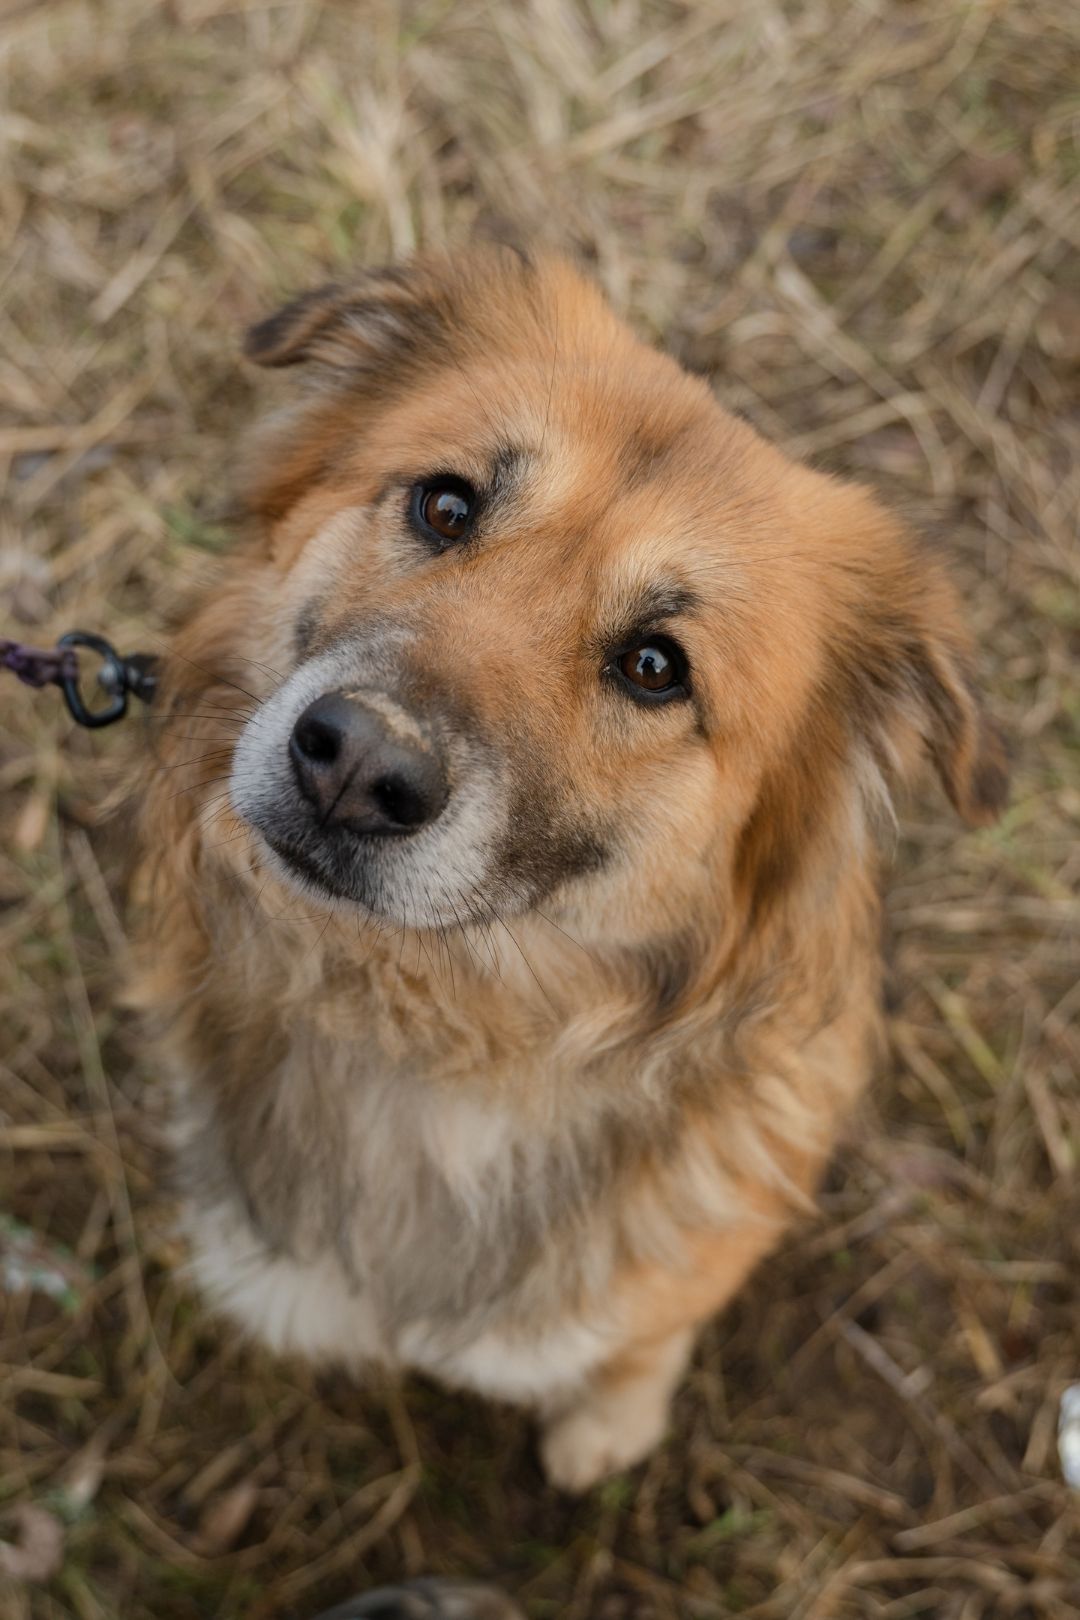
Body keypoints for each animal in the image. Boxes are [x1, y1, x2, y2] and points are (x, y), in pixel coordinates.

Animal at [134, 247, 1006, 1492]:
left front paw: (607, 1423)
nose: (356, 768)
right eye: (445, 505)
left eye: (654, 667)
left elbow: (639, 1338)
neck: (434, 1028)